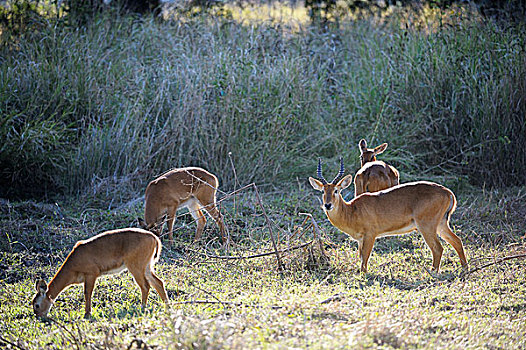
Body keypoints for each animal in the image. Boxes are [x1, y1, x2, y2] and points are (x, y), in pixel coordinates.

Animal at [31, 228, 170, 318]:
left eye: (36, 305)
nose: (39, 317)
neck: (73, 266)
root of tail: (154, 238)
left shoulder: (91, 274)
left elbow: (87, 293)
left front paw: (87, 314)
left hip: (136, 266)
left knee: (146, 286)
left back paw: (142, 307)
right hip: (146, 266)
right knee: (158, 282)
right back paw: (167, 305)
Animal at [310, 158, 470, 274]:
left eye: (336, 191)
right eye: (323, 191)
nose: (328, 205)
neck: (352, 211)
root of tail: (448, 192)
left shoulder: (370, 235)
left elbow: (365, 259)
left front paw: (363, 275)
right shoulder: (360, 240)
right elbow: (361, 257)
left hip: (427, 226)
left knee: (438, 248)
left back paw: (432, 272)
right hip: (441, 224)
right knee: (457, 241)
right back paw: (464, 268)